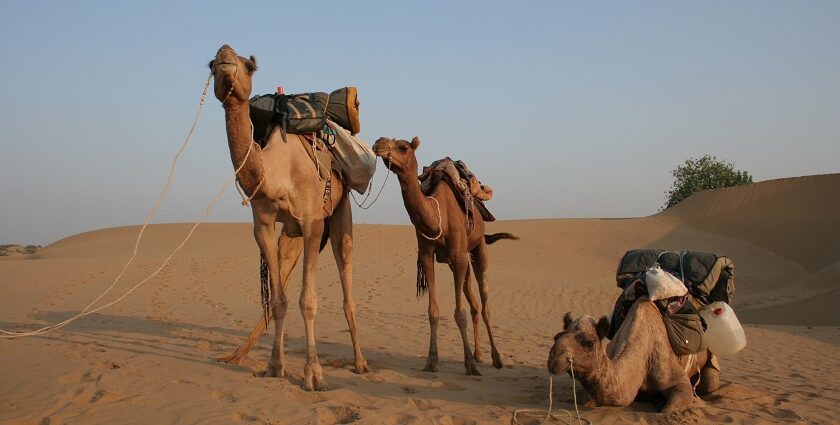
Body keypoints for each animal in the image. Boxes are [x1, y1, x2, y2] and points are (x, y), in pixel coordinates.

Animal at [209, 44, 368, 390]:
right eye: (211, 64)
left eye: (249, 66)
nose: (225, 53)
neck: (275, 172)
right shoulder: (264, 225)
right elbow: (279, 301)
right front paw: (274, 366)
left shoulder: (313, 223)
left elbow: (307, 302)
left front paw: (313, 374)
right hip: (289, 235)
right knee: (280, 279)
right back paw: (236, 356)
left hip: (340, 210)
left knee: (346, 277)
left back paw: (361, 362)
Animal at [370, 136, 516, 374]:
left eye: (403, 147)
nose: (378, 143)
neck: (438, 216)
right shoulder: (427, 256)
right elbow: (433, 310)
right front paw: (431, 361)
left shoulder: (458, 257)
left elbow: (459, 313)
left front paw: (469, 365)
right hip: (462, 259)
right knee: (475, 305)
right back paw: (478, 354)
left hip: (477, 249)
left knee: (485, 303)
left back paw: (496, 358)